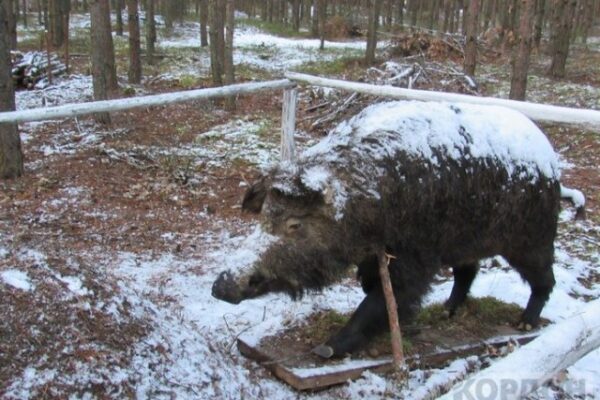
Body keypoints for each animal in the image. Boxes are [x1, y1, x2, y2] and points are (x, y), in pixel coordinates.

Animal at [212, 100, 582, 358]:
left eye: (295, 224)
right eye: (264, 216)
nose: (220, 286)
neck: (367, 204)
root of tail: (550, 159)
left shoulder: (414, 253)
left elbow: (385, 298)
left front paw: (326, 349)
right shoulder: (373, 256)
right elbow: (371, 289)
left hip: (531, 236)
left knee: (544, 278)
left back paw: (524, 323)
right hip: (466, 241)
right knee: (468, 271)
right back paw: (446, 311)